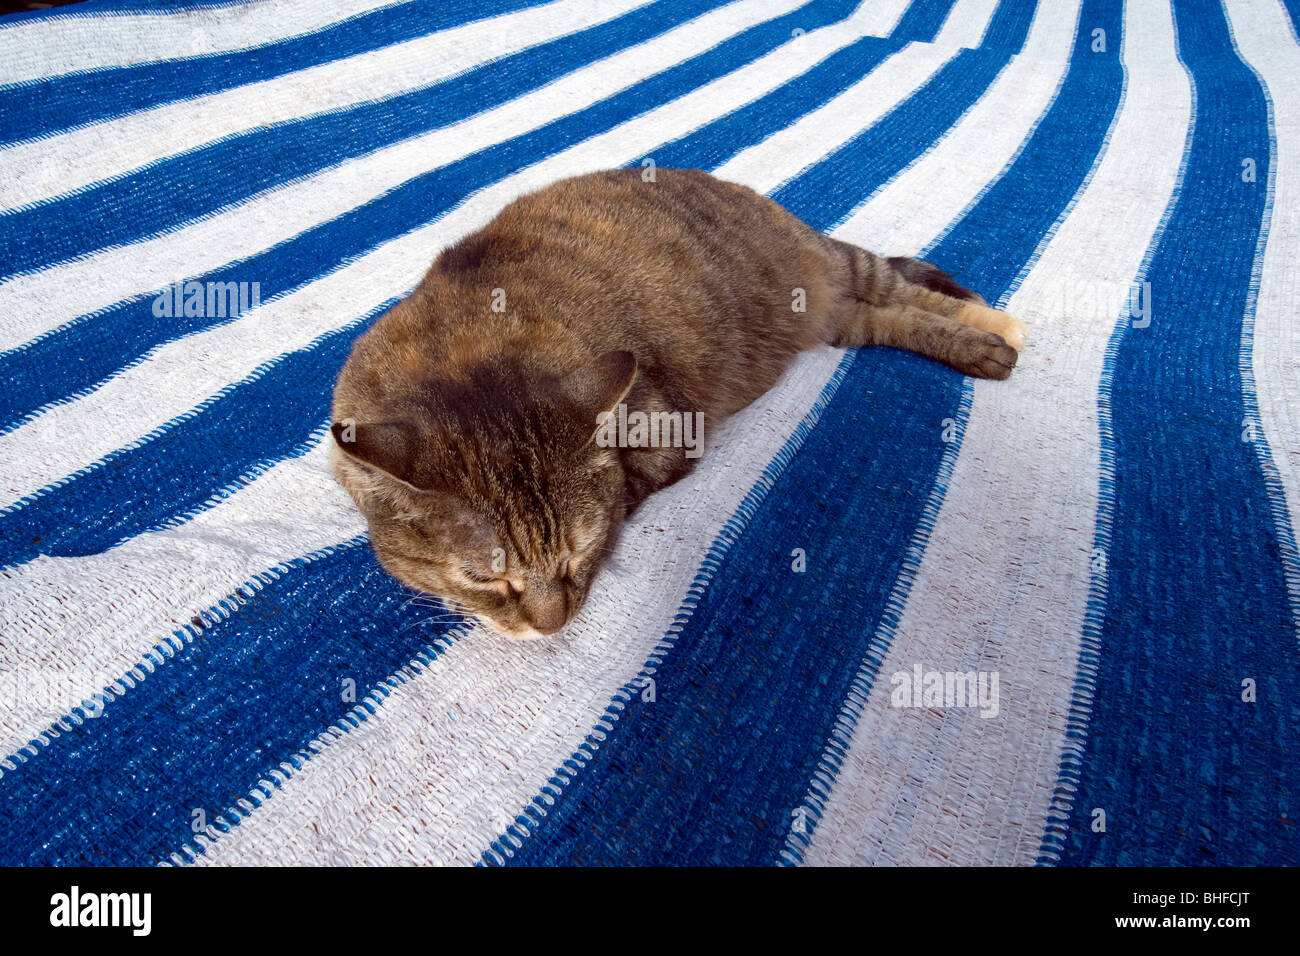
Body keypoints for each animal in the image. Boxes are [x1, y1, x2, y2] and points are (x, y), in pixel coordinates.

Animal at [327, 167, 1024, 639]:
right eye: (484, 577)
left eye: (579, 552)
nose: (552, 626)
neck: (465, 350)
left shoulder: (666, 428)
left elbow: (623, 489)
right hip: (842, 321)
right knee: (888, 316)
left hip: (841, 267)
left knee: (908, 290)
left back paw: (996, 332)